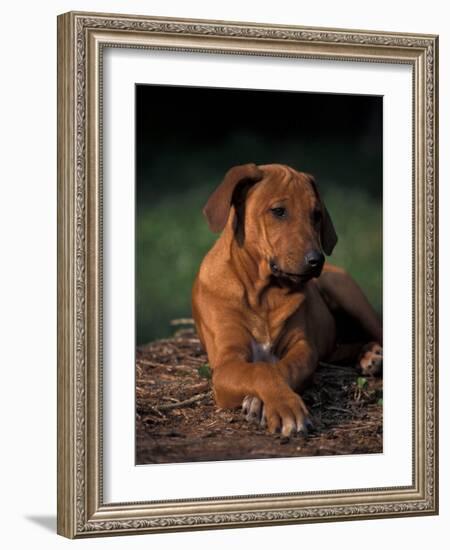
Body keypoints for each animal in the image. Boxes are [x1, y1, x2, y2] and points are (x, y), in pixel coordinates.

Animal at [192, 164, 382, 440]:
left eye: (316, 215)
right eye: (278, 211)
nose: (316, 261)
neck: (263, 295)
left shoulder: (303, 348)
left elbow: (280, 369)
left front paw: (270, 403)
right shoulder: (227, 363)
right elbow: (261, 370)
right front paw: (279, 405)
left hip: (346, 291)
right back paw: (367, 354)